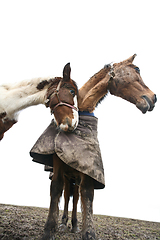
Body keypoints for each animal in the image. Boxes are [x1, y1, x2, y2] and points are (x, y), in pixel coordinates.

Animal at [42, 54, 156, 240]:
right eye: (137, 69)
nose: (153, 98)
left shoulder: (88, 169)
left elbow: (87, 195)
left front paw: (88, 232)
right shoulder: (59, 167)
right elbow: (56, 189)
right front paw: (49, 229)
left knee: (75, 197)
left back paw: (74, 225)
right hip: (69, 176)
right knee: (67, 196)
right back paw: (64, 223)